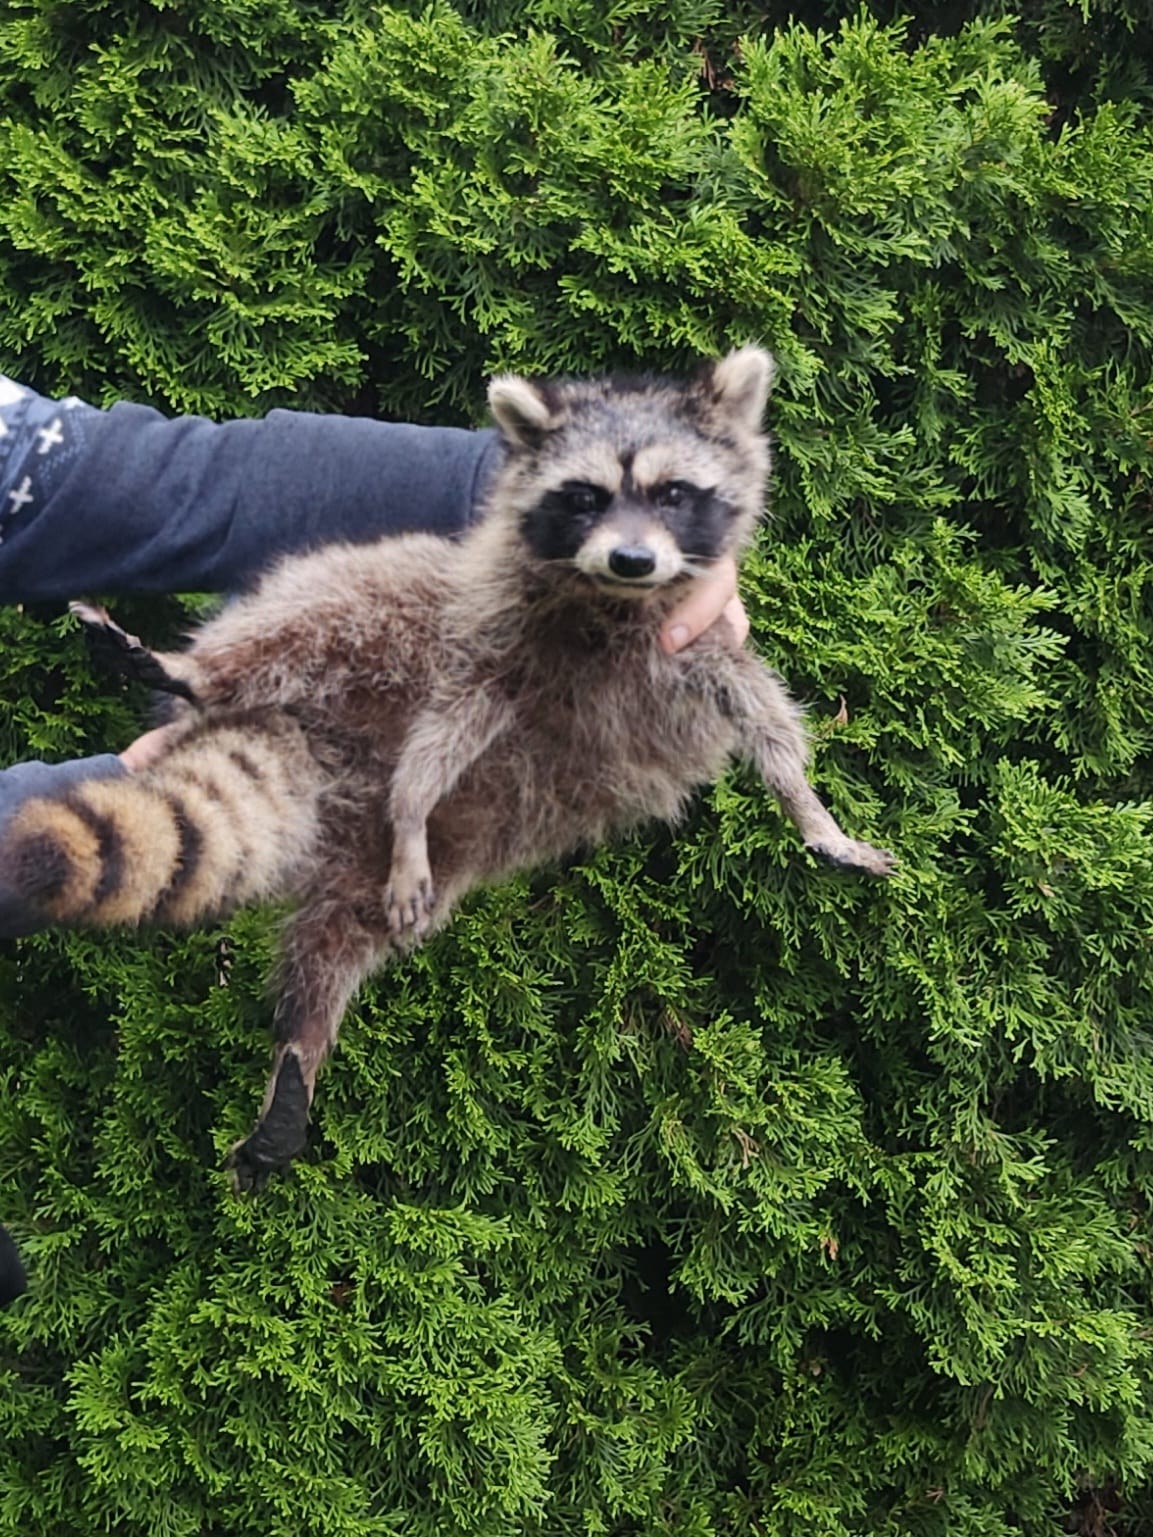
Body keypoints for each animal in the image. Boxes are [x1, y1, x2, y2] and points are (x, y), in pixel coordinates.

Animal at [2, 347, 893, 1191]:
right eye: (585, 497)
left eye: (674, 492)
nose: (633, 558)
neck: (613, 604)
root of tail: (323, 752)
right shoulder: (495, 640)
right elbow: (447, 728)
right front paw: (410, 804)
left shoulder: (699, 645)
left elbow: (765, 719)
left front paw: (809, 807)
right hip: (376, 619)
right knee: (339, 599)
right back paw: (206, 677)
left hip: (390, 863)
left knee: (338, 937)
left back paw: (301, 1041)